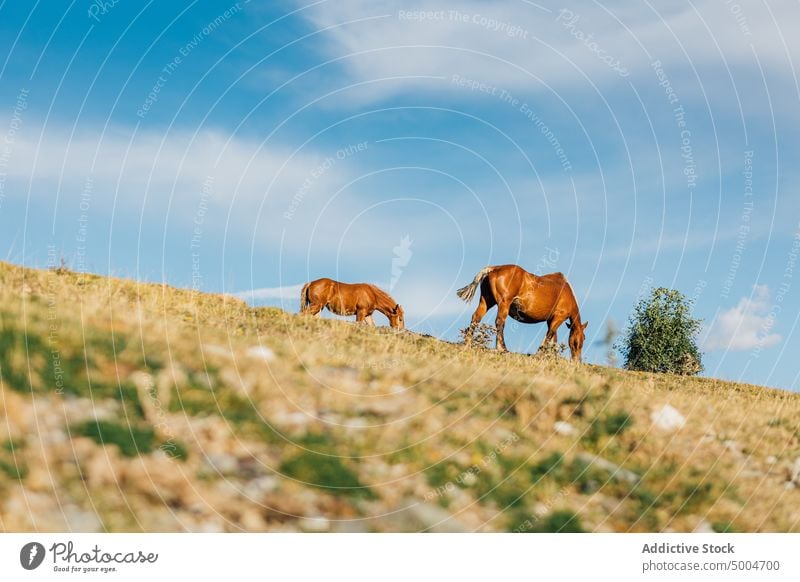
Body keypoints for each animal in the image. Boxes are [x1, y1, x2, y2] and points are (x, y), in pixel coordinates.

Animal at [456, 266, 588, 362]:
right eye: (580, 339)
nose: (577, 360)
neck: (566, 292)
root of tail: (494, 268)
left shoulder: (550, 320)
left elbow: (553, 338)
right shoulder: (558, 318)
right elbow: (550, 335)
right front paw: (542, 353)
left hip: (486, 302)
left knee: (476, 317)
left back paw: (468, 342)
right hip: (504, 304)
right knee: (500, 322)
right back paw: (502, 348)